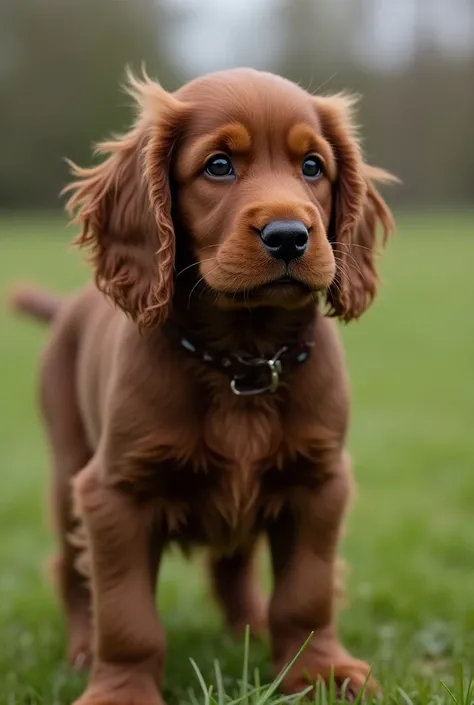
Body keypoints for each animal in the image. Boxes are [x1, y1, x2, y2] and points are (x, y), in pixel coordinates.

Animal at [12, 67, 394, 704]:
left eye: (312, 166)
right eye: (218, 166)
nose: (289, 236)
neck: (241, 358)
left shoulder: (319, 482)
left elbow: (307, 592)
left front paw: (319, 673)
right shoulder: (114, 492)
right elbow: (127, 614)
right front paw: (120, 690)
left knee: (232, 567)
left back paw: (250, 629)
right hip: (68, 467)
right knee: (72, 571)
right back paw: (83, 651)